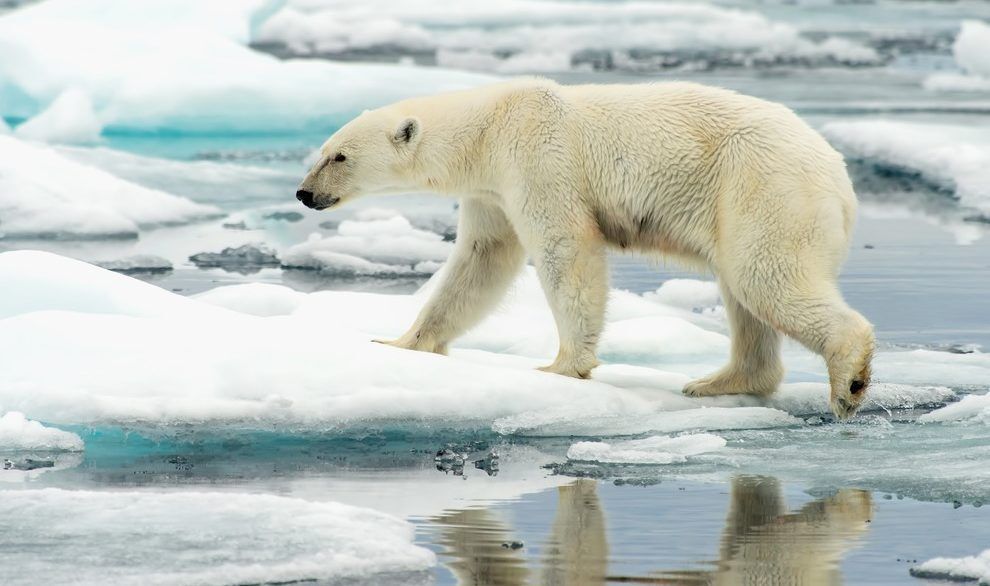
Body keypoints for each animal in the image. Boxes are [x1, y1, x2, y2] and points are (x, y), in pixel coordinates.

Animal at [295, 78, 874, 419]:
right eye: (321, 151)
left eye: (339, 156)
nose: (304, 193)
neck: (488, 125)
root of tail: (840, 177)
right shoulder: (491, 190)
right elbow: (483, 259)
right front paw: (402, 342)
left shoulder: (536, 156)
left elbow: (565, 248)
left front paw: (561, 366)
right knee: (743, 290)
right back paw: (718, 381)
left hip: (764, 186)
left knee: (765, 276)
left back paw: (848, 380)